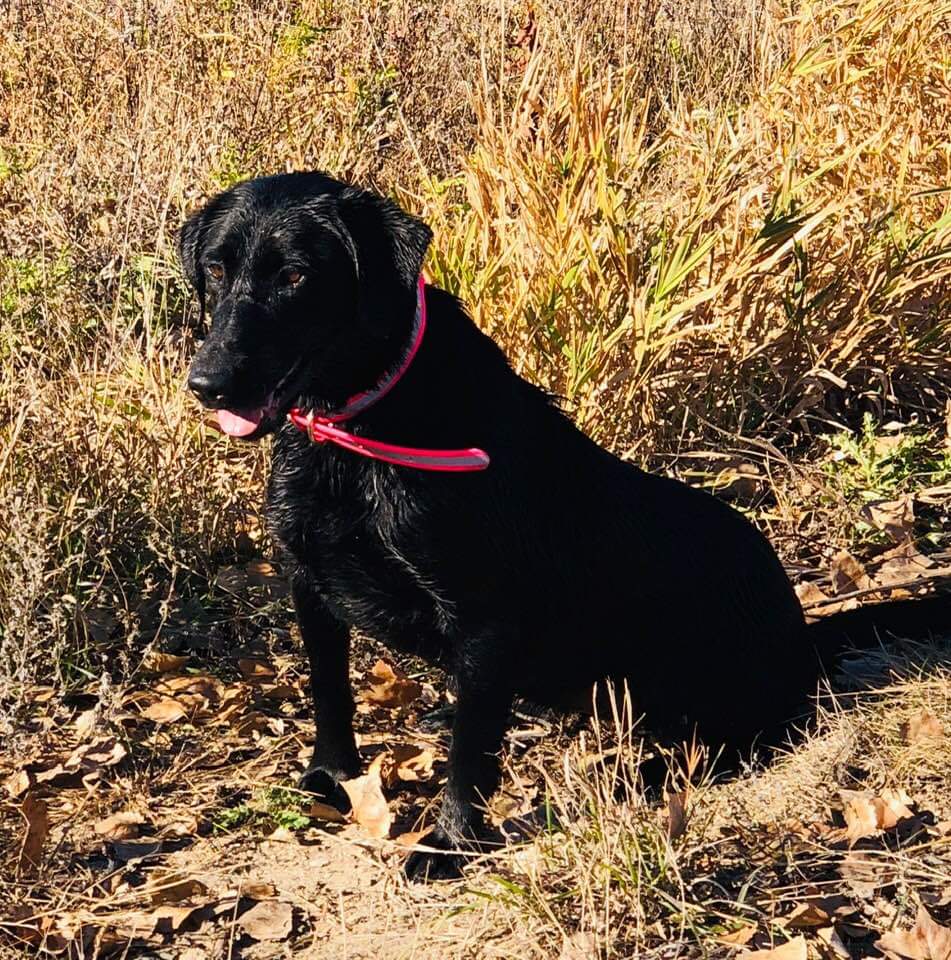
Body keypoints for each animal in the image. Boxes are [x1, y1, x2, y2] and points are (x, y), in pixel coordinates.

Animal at [180, 171, 951, 876]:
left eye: (296, 276)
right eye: (216, 269)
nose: (207, 385)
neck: (359, 427)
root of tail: (802, 639)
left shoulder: (484, 614)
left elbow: (471, 752)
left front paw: (449, 842)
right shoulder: (310, 584)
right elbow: (331, 693)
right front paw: (329, 777)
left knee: (747, 736)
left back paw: (644, 773)